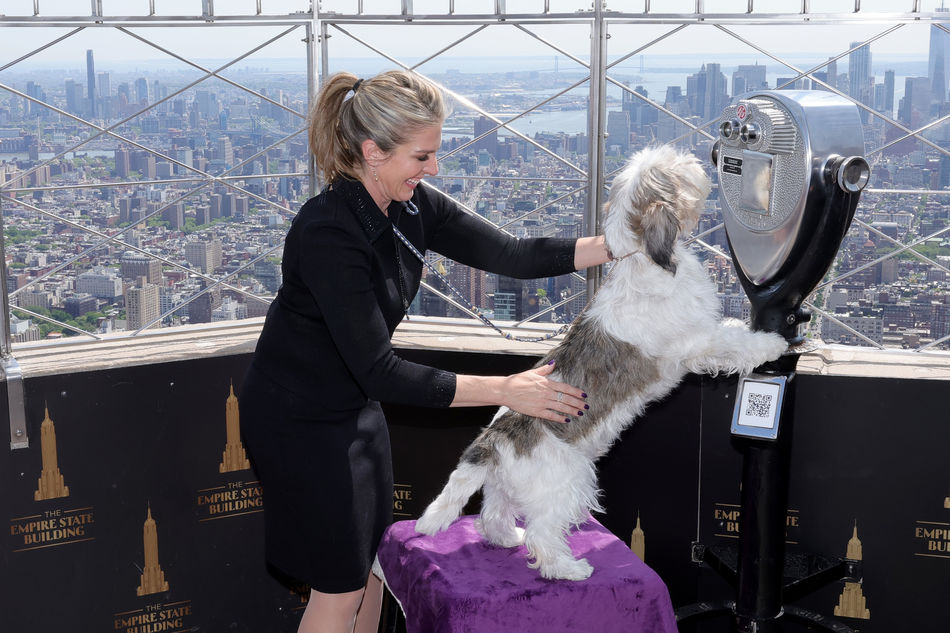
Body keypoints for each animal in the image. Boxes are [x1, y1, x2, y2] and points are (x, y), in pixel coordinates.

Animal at [416, 146, 788, 580]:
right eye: (671, 170)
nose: (698, 160)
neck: (646, 257)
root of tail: (492, 440)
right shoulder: (698, 342)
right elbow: (733, 341)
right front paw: (772, 343)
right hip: (566, 482)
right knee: (543, 533)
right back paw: (568, 568)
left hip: (504, 487)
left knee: (493, 516)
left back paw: (508, 537)